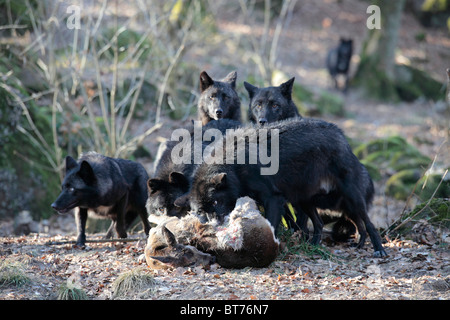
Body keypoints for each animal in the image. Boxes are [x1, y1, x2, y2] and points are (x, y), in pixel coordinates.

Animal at [176, 118, 386, 258]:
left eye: (215, 202)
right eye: (201, 211)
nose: (215, 227)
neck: (236, 166)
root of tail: (340, 134)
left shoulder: (273, 198)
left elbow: (271, 227)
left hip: (351, 198)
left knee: (368, 223)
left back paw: (379, 249)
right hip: (304, 200)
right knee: (318, 223)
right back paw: (313, 247)